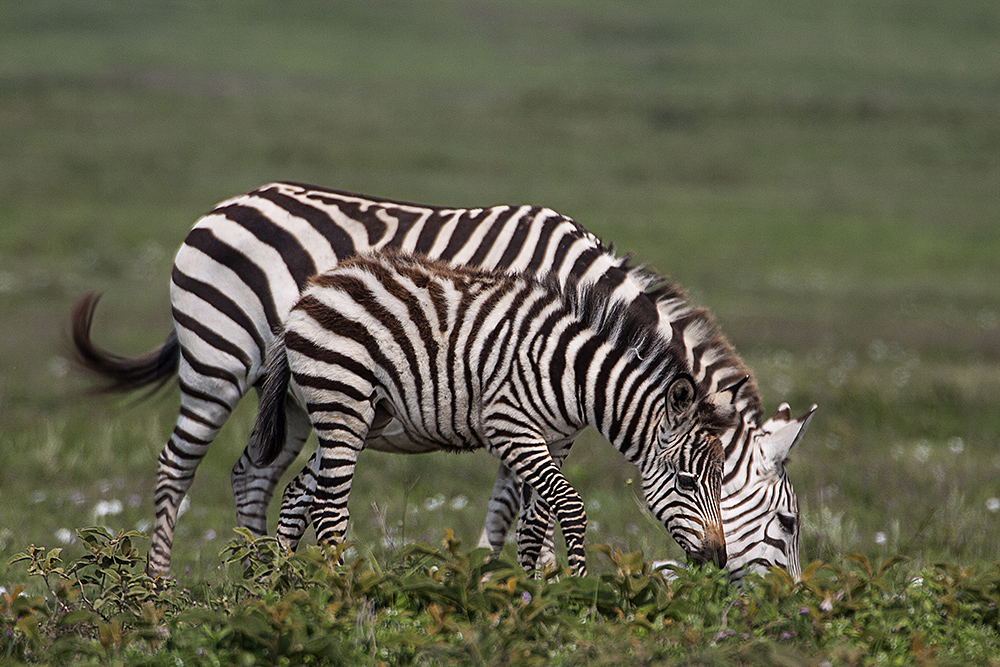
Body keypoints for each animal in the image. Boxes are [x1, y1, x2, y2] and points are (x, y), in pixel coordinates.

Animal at [250, 250, 736, 576]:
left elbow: (535, 525)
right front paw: (581, 589)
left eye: (720, 482)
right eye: (687, 481)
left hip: (363, 416)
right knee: (329, 506)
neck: (573, 377)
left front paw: (535, 597)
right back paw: (339, 592)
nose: (718, 558)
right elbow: (572, 506)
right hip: (342, 400)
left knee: (297, 493)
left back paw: (281, 589)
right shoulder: (511, 429)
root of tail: (313, 288)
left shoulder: (557, 441)